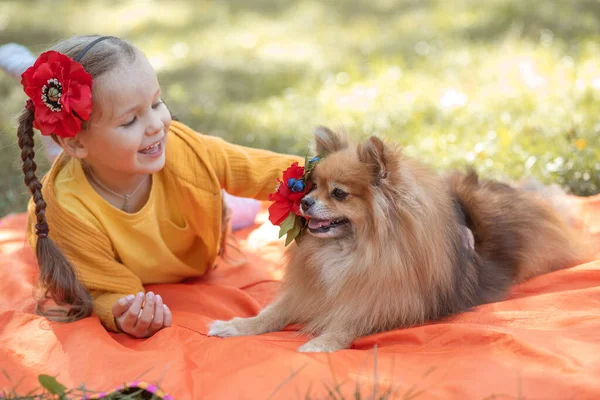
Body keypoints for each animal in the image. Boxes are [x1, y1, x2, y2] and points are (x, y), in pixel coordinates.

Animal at [209, 126, 588, 352]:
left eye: (338, 193)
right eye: (311, 186)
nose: (304, 202)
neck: (350, 251)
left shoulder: (388, 303)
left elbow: (350, 322)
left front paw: (323, 341)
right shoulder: (308, 291)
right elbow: (270, 313)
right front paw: (238, 326)